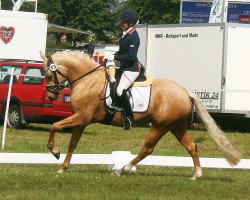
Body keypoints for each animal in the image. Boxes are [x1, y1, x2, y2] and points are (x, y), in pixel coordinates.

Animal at [40, 50, 241, 180]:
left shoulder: (82, 117)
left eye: (49, 75)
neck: (87, 80)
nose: (51, 96)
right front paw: (63, 167)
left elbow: (54, 126)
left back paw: (122, 170)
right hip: (177, 126)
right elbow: (73, 144)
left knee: (147, 149)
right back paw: (197, 175)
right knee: (192, 147)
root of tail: (185, 92)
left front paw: (55, 152)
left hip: (161, 126)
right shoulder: (81, 121)